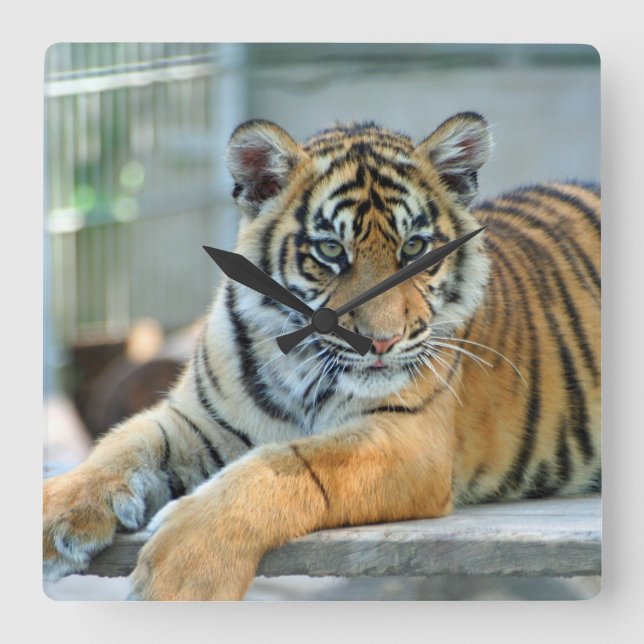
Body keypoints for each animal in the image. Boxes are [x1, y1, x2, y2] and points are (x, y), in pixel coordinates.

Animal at [43, 112, 601, 600]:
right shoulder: (197, 420)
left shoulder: (410, 439)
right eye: (331, 251)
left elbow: (284, 465)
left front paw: (181, 575)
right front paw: (53, 515)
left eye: (415, 248)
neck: (300, 366)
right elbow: (121, 446)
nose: (383, 341)